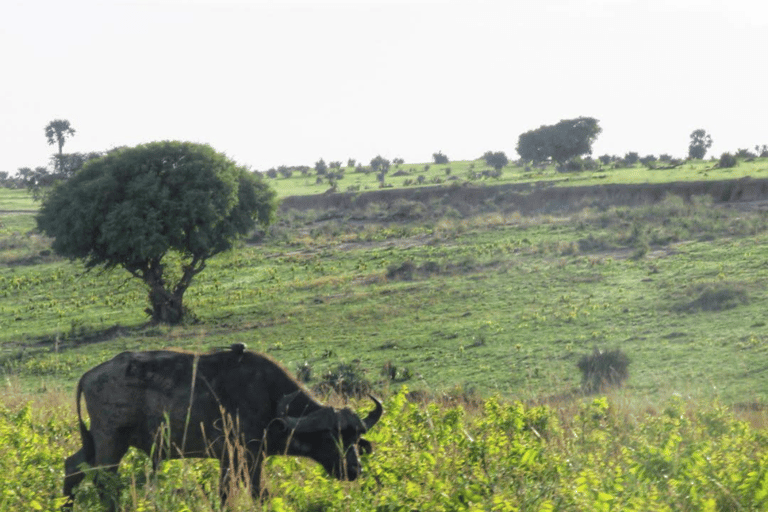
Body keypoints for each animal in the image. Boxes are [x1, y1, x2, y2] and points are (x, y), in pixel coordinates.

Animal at [64, 344, 382, 508]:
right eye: (329, 436)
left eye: (355, 438)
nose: (354, 470)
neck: (269, 398)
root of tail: (90, 375)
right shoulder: (248, 455)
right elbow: (255, 493)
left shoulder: (233, 459)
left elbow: (229, 492)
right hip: (110, 441)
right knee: (103, 479)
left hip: (98, 442)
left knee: (73, 466)